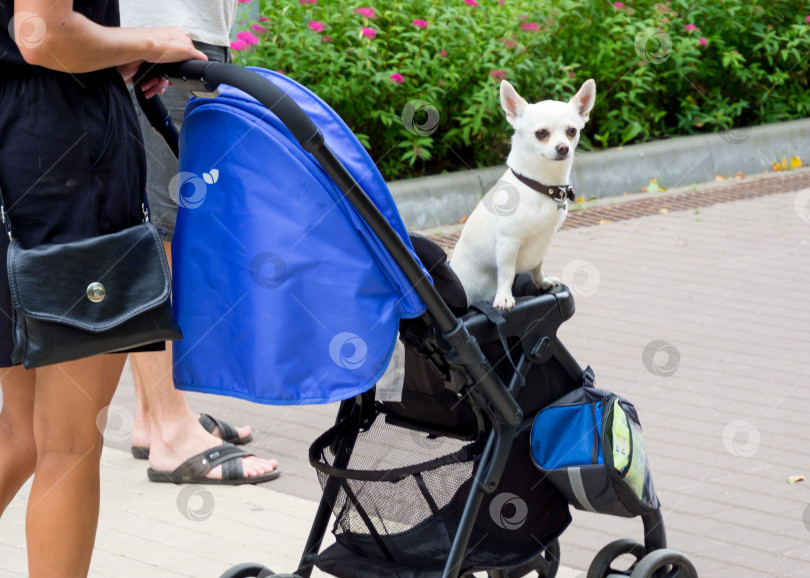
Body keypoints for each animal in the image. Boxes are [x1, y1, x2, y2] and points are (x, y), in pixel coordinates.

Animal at [448, 80, 592, 310]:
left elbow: (537, 265)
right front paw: (504, 297)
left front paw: (542, 282)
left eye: (571, 131)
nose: (563, 147)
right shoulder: (508, 243)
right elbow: (506, 273)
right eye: (541, 133)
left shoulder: (544, 241)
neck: (540, 186)